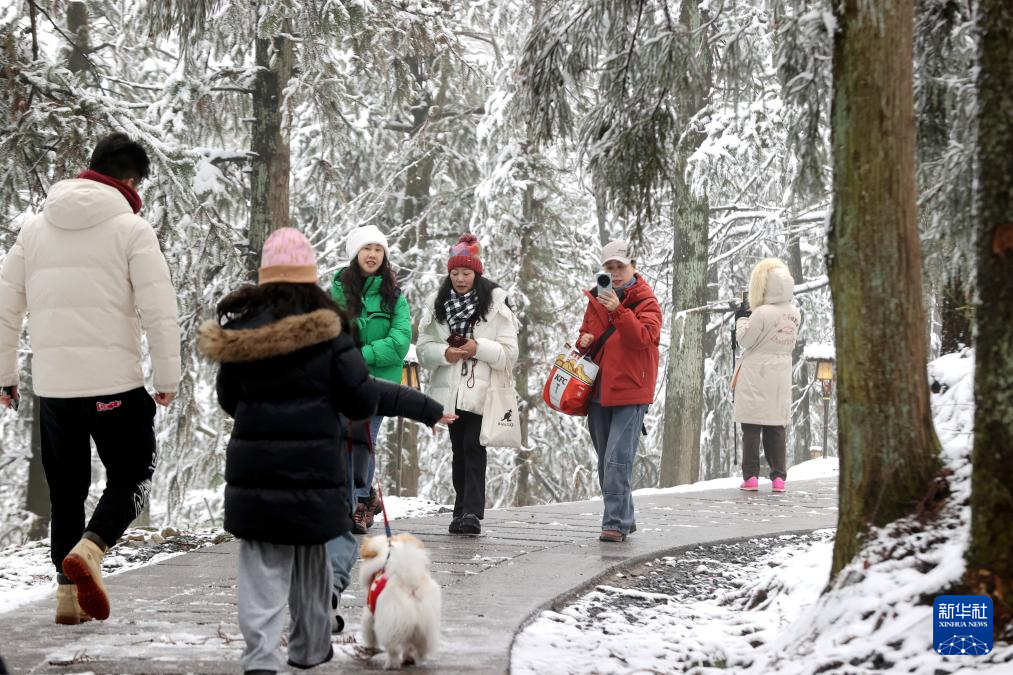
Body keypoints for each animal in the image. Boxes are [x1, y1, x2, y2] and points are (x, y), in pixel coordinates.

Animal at [358, 531, 441, 668]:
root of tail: (410, 583)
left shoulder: (369, 614)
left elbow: (369, 635)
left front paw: (369, 648)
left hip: (391, 624)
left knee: (394, 650)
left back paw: (391, 665)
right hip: (424, 627)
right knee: (419, 649)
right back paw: (412, 660)